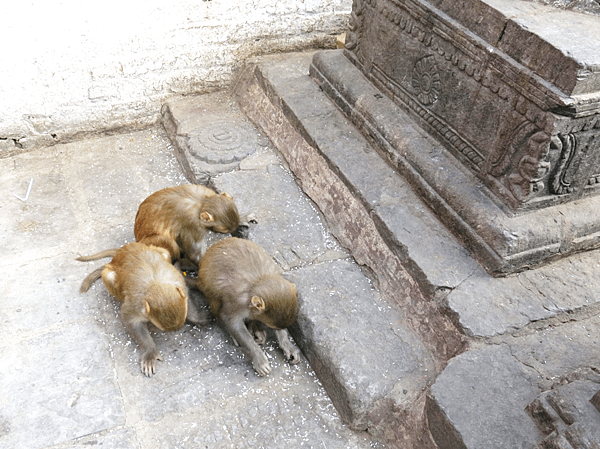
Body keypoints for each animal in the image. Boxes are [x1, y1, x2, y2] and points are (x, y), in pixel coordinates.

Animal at [77, 242, 210, 374]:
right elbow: (131, 321)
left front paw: (197, 318)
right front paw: (150, 352)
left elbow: (187, 299)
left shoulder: (180, 285)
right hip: (110, 275)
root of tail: (120, 251)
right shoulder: (135, 305)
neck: (156, 284)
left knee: (164, 253)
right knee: (110, 276)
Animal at [197, 236, 300, 376]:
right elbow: (232, 321)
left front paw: (287, 345)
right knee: (216, 301)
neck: (258, 281)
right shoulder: (237, 302)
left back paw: (256, 328)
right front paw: (259, 359)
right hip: (209, 290)